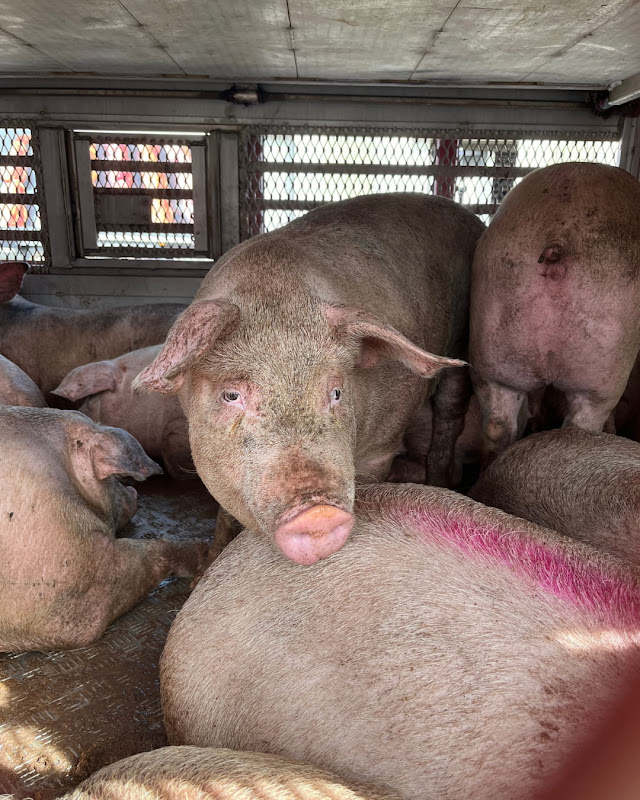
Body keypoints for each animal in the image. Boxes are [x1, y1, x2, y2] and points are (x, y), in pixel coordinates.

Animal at [134, 193, 484, 564]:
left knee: (450, 411)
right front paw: (208, 564)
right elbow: (225, 514)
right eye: (231, 395)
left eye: (336, 392)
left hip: (463, 341)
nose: (318, 512)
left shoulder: (382, 446)